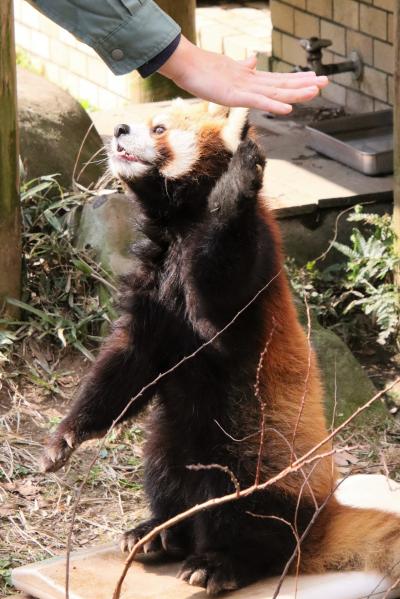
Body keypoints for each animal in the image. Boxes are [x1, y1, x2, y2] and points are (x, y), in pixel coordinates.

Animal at [40, 102, 400, 596]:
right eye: (134, 118)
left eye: (158, 128)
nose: (118, 129)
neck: (178, 228)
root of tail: (321, 516)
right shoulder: (150, 300)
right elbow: (124, 369)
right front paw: (65, 437)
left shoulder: (248, 276)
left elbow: (221, 295)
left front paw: (236, 186)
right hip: (168, 442)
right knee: (165, 473)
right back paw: (161, 532)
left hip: (256, 457)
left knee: (248, 517)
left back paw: (222, 561)